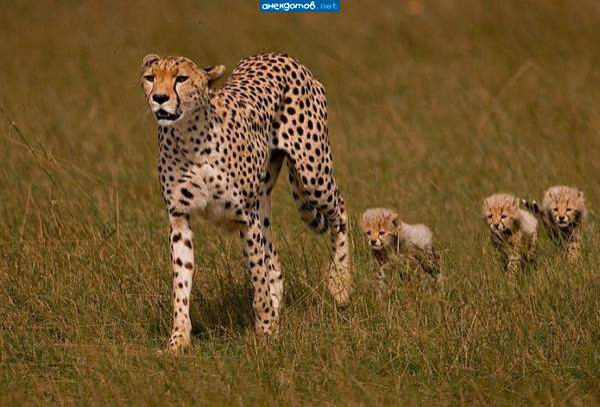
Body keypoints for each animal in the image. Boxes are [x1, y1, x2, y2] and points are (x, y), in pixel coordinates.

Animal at [141, 53, 352, 354]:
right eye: (150, 77)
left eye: (181, 78)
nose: (159, 98)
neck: (189, 137)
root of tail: (280, 55)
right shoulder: (179, 218)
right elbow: (181, 285)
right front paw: (178, 340)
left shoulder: (246, 218)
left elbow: (258, 278)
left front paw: (265, 332)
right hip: (266, 199)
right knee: (273, 257)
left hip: (313, 175)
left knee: (340, 211)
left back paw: (340, 284)